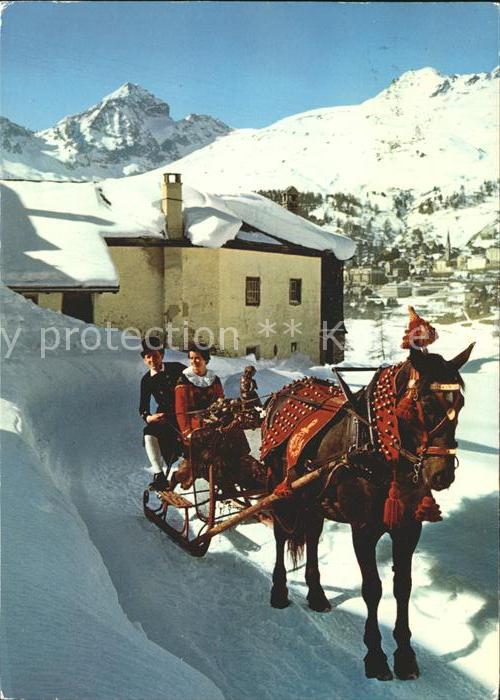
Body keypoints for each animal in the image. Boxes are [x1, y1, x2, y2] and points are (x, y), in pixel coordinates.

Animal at [264, 346, 474, 684]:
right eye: (427, 404)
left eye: (461, 403)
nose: (441, 475)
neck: (378, 447)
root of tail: (282, 393)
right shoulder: (362, 529)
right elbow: (373, 589)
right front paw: (375, 657)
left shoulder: (408, 528)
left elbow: (403, 587)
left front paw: (405, 656)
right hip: (282, 489)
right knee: (282, 535)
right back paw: (280, 591)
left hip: (314, 499)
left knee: (312, 536)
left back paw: (316, 594)